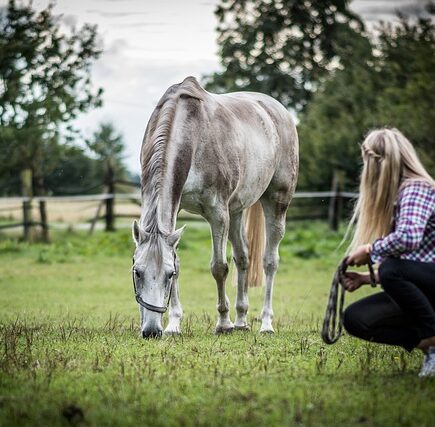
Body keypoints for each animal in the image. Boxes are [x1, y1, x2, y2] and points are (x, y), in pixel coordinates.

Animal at [131, 76, 298, 338]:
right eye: (138, 272)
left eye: (168, 275)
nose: (151, 331)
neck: (191, 133)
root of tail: (278, 110)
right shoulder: (178, 209)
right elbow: (181, 260)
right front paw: (174, 325)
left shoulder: (218, 213)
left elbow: (219, 267)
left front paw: (223, 323)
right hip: (237, 210)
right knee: (243, 257)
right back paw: (241, 320)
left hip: (276, 201)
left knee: (269, 261)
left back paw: (265, 324)